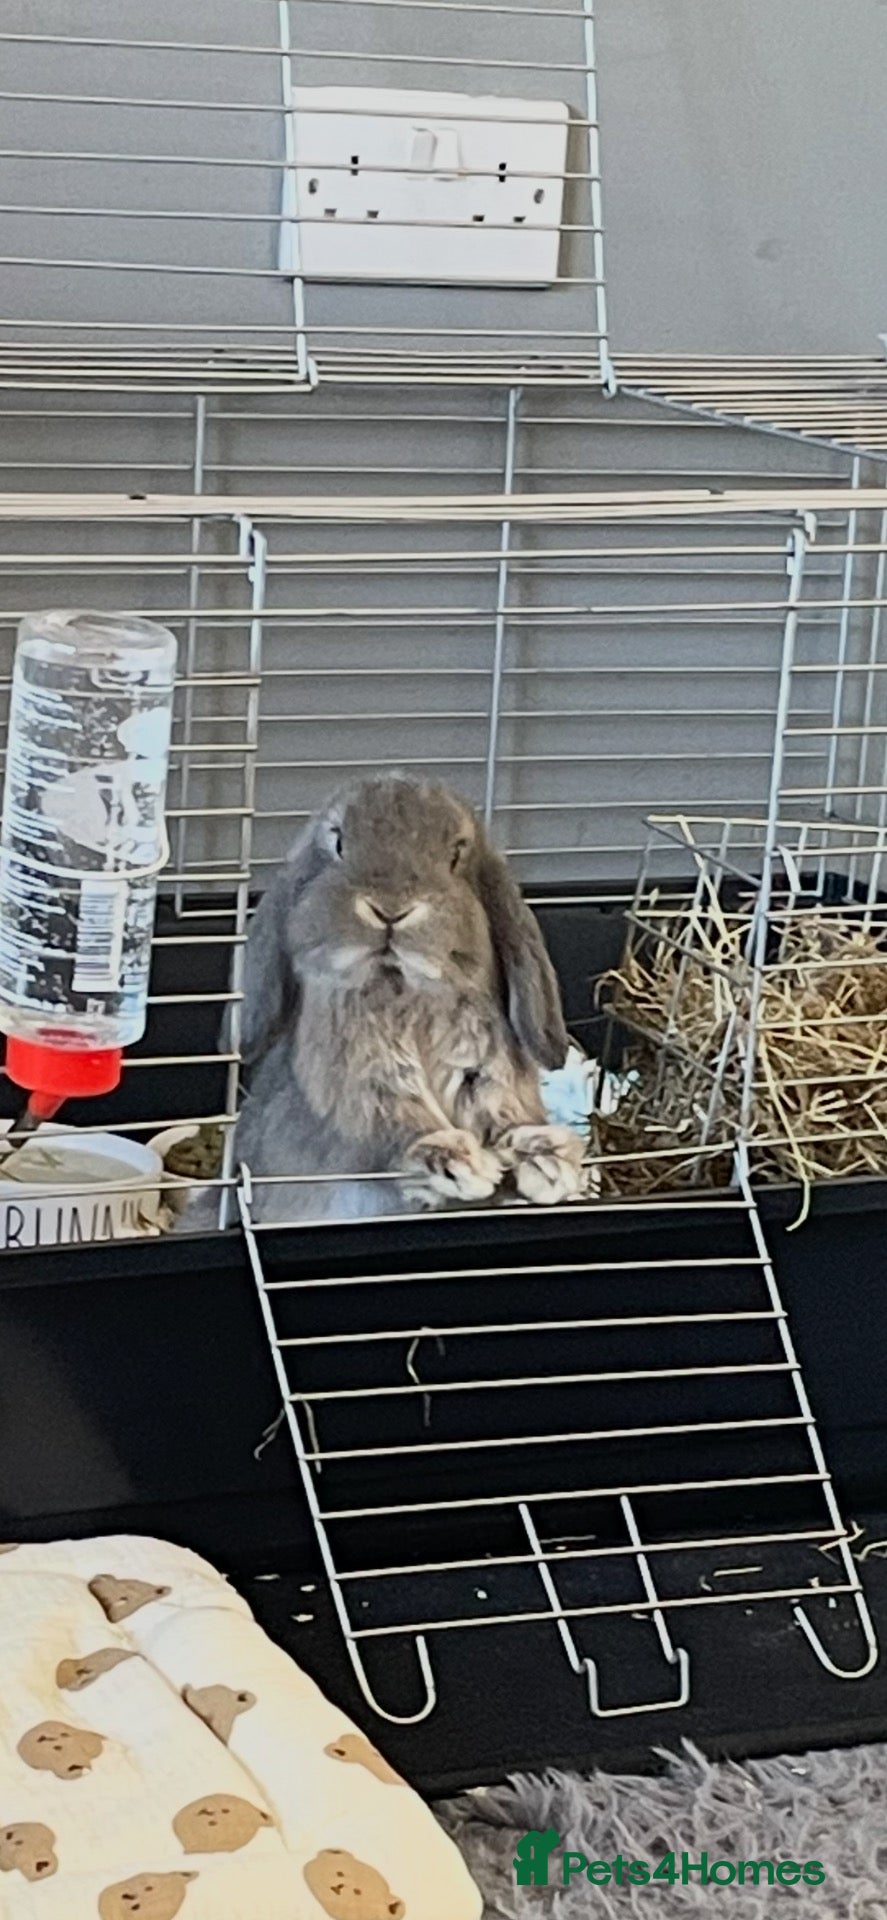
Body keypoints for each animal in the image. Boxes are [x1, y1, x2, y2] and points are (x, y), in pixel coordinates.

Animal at [230, 772, 586, 1224]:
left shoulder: (486, 1069)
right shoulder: (364, 1081)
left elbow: (504, 1112)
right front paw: (456, 1162)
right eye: (339, 844)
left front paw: (548, 1157)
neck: (408, 990)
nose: (390, 910)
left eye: (456, 854)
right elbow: (396, 1122)